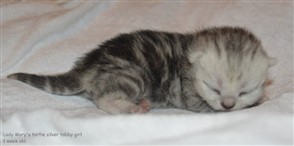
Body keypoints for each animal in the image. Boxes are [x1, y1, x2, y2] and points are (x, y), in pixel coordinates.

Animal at [6, 26, 276, 114]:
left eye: (244, 90)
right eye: (214, 88)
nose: (228, 104)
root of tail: (88, 64)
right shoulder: (191, 95)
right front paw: (258, 103)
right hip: (132, 75)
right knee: (104, 100)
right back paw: (131, 108)